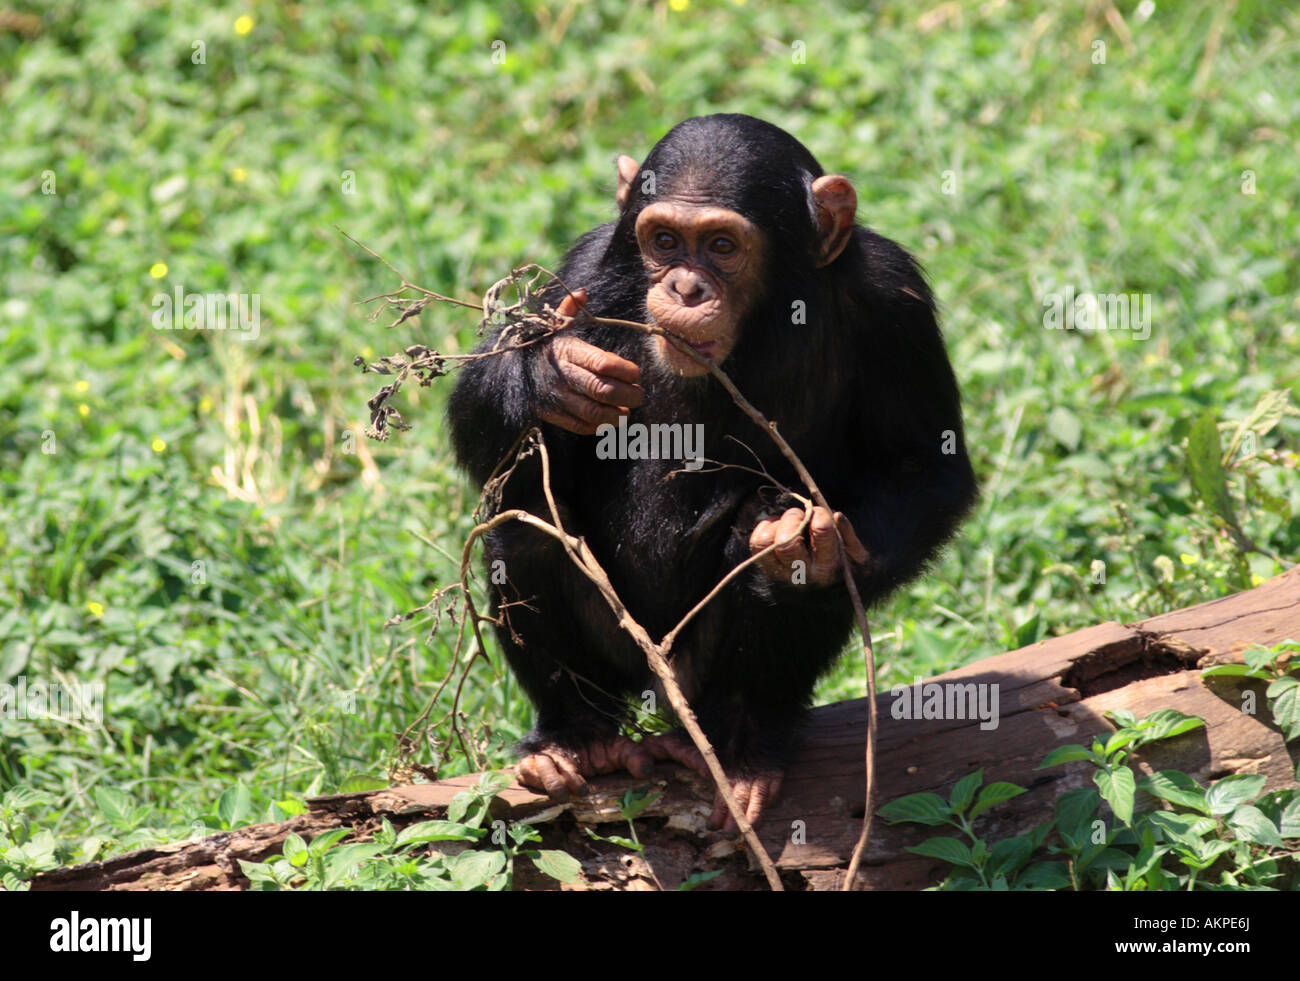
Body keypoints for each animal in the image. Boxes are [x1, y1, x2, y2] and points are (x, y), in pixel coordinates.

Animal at [447, 114, 977, 826]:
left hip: (696, 680)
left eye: (723, 246)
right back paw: (574, 737)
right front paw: (553, 375)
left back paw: (742, 745)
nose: (685, 287)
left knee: (776, 570)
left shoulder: (895, 301)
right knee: (526, 524)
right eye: (665, 241)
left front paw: (817, 544)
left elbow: (923, 466)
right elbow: (486, 421)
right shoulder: (582, 271)